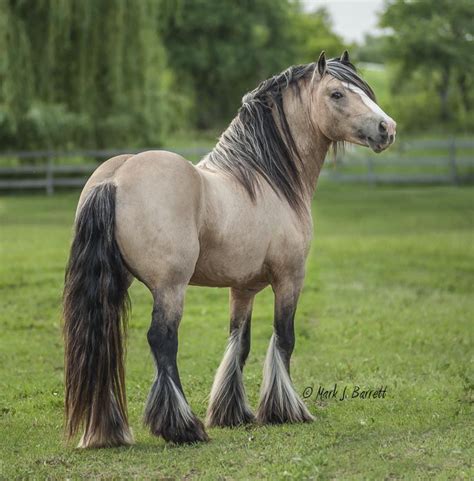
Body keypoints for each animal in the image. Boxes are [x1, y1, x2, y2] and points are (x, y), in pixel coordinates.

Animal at [63, 50, 396, 448]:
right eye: (336, 94)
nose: (387, 128)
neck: (265, 179)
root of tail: (115, 179)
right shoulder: (290, 278)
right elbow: (284, 338)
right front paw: (284, 411)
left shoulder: (243, 287)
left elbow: (241, 342)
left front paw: (232, 413)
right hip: (170, 287)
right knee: (163, 341)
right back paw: (183, 427)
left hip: (115, 284)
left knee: (105, 340)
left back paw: (109, 431)